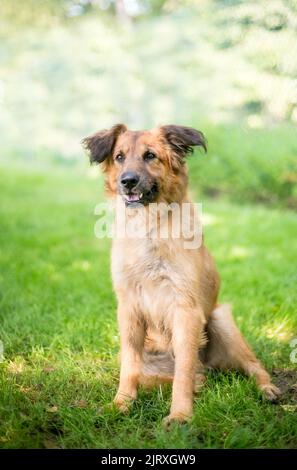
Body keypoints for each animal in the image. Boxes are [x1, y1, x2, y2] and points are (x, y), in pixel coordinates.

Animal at [81, 125, 280, 426]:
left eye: (150, 155)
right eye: (119, 157)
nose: (128, 181)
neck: (149, 228)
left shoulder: (185, 309)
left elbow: (183, 372)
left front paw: (180, 415)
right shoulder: (128, 308)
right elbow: (129, 366)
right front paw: (121, 404)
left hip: (221, 320)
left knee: (253, 366)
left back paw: (268, 389)